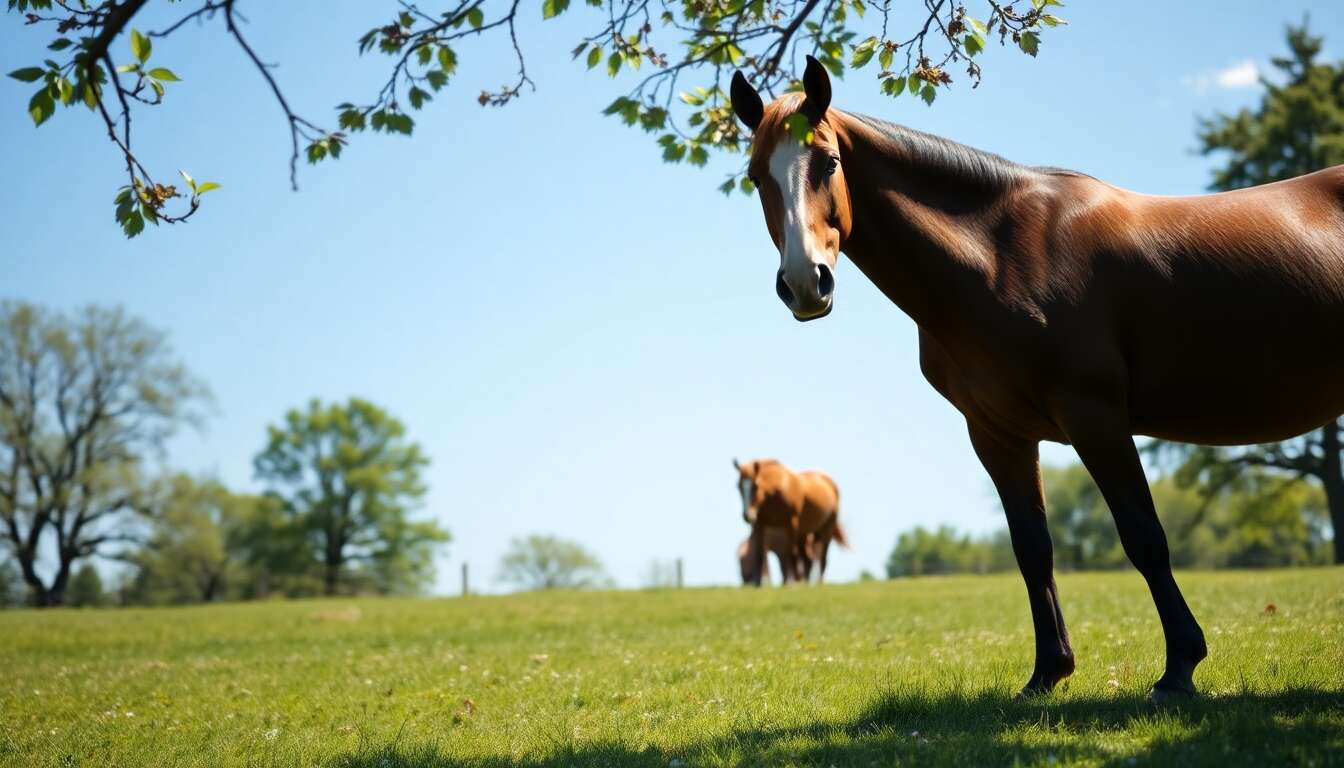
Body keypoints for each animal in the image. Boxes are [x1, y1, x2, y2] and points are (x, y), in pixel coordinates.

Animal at [729, 57, 1344, 702]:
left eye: (828, 161)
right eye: (755, 176)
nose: (806, 282)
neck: (1001, 256)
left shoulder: (1095, 418)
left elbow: (1144, 537)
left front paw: (1180, 667)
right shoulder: (998, 433)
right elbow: (1032, 549)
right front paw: (1049, 670)